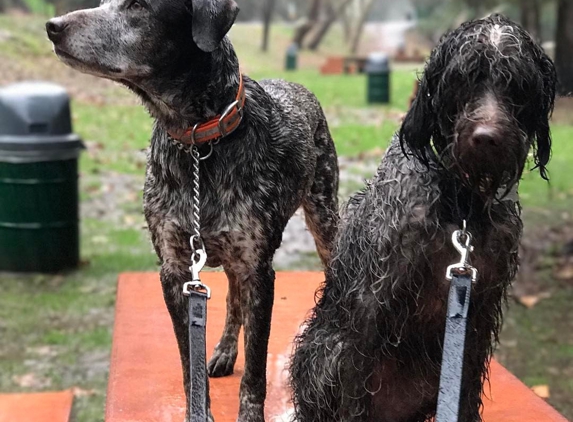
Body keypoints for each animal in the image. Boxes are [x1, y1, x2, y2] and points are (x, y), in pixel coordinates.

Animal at [47, 0, 338, 422]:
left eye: (138, 6)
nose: (52, 26)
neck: (199, 143)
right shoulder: (175, 270)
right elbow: (188, 362)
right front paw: (198, 406)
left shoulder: (258, 271)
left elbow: (256, 369)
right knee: (233, 303)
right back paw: (224, 351)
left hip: (323, 219)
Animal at [290, 13, 556, 422]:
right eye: (462, 79)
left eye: (518, 84)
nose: (487, 138)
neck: (461, 207)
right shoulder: (370, 304)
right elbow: (354, 394)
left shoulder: (479, 313)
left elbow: (466, 395)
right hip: (326, 353)